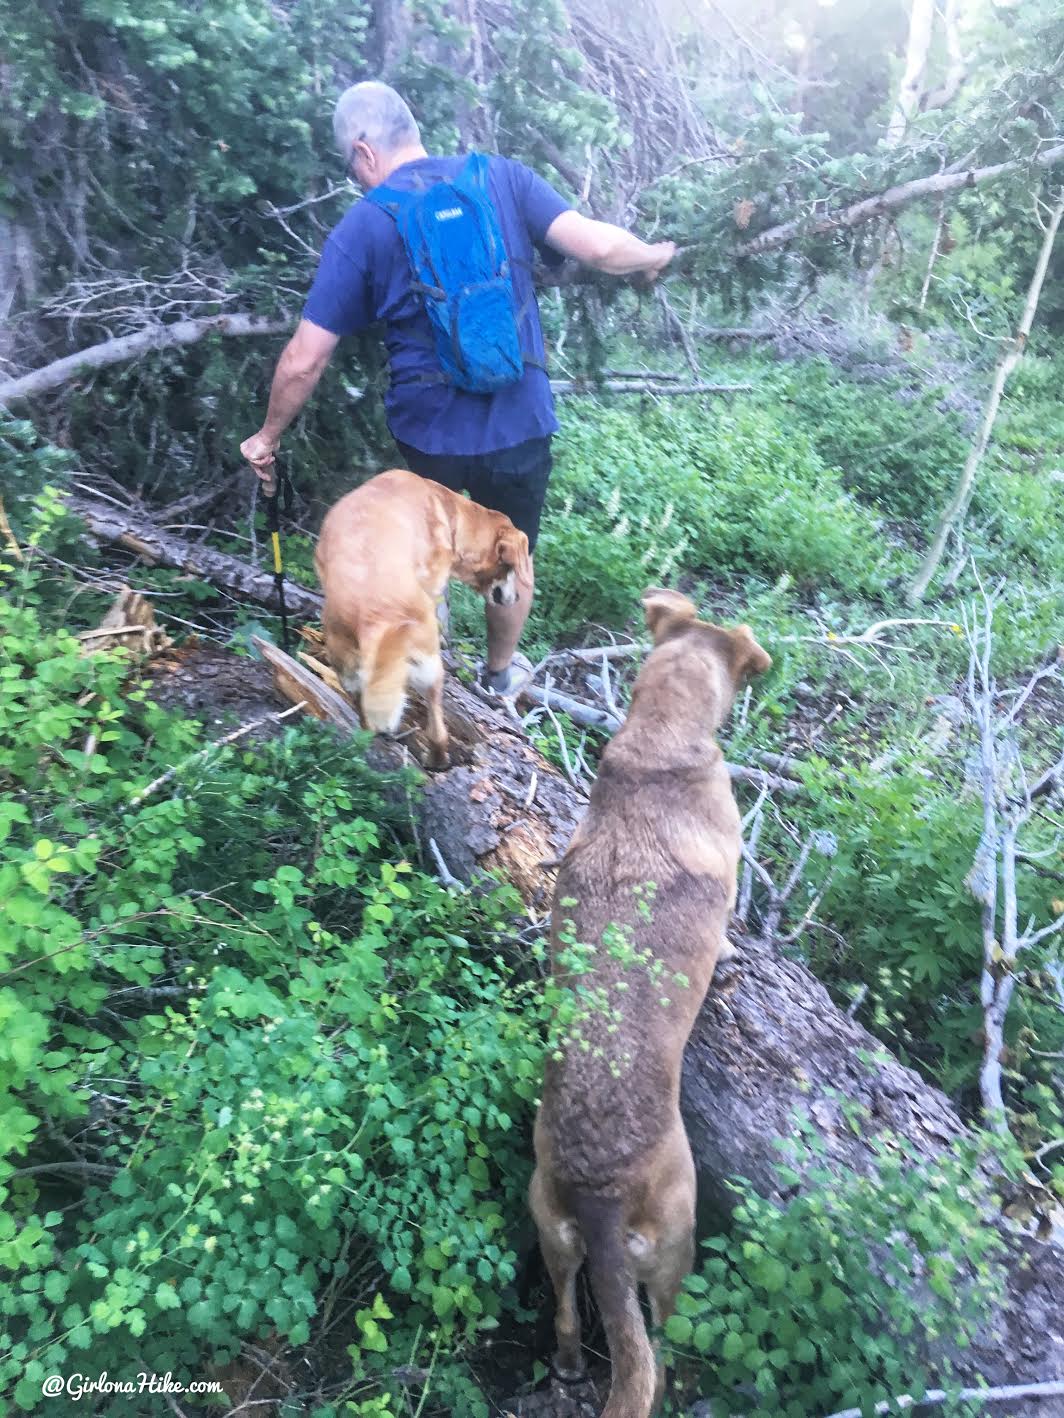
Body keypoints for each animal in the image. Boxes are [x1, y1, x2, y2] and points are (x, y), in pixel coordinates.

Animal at [314, 470, 533, 765]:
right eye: (511, 569)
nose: (517, 598)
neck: (454, 516)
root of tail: (374, 614)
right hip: (429, 666)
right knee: (437, 725)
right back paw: (438, 759)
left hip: (346, 664)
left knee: (366, 712)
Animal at [530, 587, 771, 1418]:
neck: (660, 741)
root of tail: (598, 1194)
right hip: (675, 1249)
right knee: (666, 1345)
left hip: (552, 1233)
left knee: (570, 1321)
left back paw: (569, 1367)